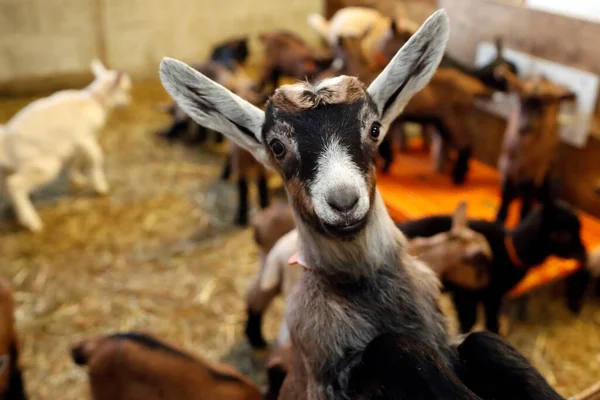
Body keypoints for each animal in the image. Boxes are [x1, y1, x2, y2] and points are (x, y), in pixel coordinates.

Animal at [492, 65, 576, 222]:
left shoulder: (538, 168)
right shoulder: (507, 163)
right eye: (521, 101)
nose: (524, 128)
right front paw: (500, 217)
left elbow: (529, 190)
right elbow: (507, 190)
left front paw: (524, 216)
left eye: (544, 106)